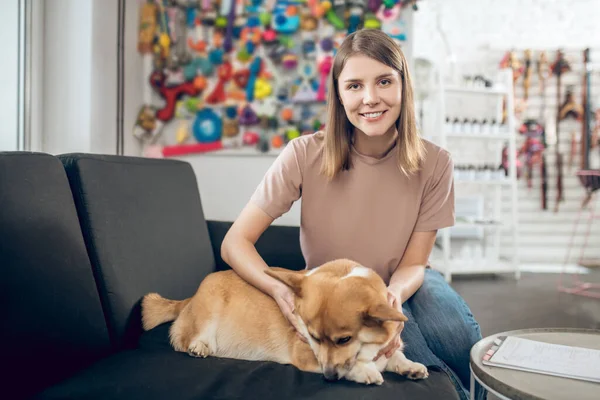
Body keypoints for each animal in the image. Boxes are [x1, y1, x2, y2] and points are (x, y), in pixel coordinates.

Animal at [140, 258, 426, 386]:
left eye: (344, 339)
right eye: (313, 336)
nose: (329, 376)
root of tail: (189, 298)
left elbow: (395, 356)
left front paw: (409, 366)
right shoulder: (306, 354)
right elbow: (357, 365)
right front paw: (365, 371)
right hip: (208, 309)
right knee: (183, 339)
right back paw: (199, 347)